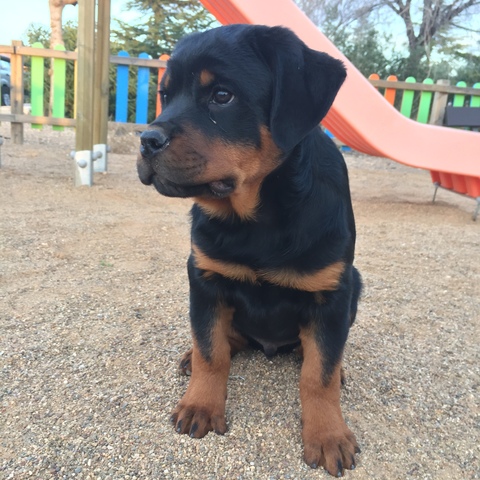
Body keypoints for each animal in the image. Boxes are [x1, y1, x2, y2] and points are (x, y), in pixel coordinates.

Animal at [137, 23, 362, 476]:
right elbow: (211, 351)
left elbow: (320, 374)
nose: (147, 140)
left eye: (222, 96)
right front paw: (201, 404)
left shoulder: (331, 294)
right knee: (222, 339)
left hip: (356, 286)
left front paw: (328, 434)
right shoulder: (204, 278)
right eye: (166, 95)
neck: (257, 218)